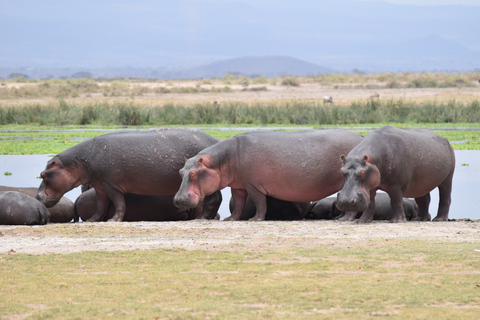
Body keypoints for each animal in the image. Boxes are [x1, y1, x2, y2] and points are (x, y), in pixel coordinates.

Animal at [36, 129, 221, 221]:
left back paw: (202, 218)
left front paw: (113, 220)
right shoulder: (99, 184)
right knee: (217, 198)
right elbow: (101, 205)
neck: (79, 161)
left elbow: (119, 203)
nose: (37, 197)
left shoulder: (110, 184)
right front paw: (92, 220)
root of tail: (216, 141)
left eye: (43, 174)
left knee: (214, 199)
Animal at [174, 129, 362, 220]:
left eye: (193, 173)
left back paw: (344, 218)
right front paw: (231, 219)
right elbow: (239, 203)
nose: (177, 199)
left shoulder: (253, 185)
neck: (222, 159)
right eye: (181, 171)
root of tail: (361, 136)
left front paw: (255, 219)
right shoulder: (238, 185)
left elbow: (260, 203)